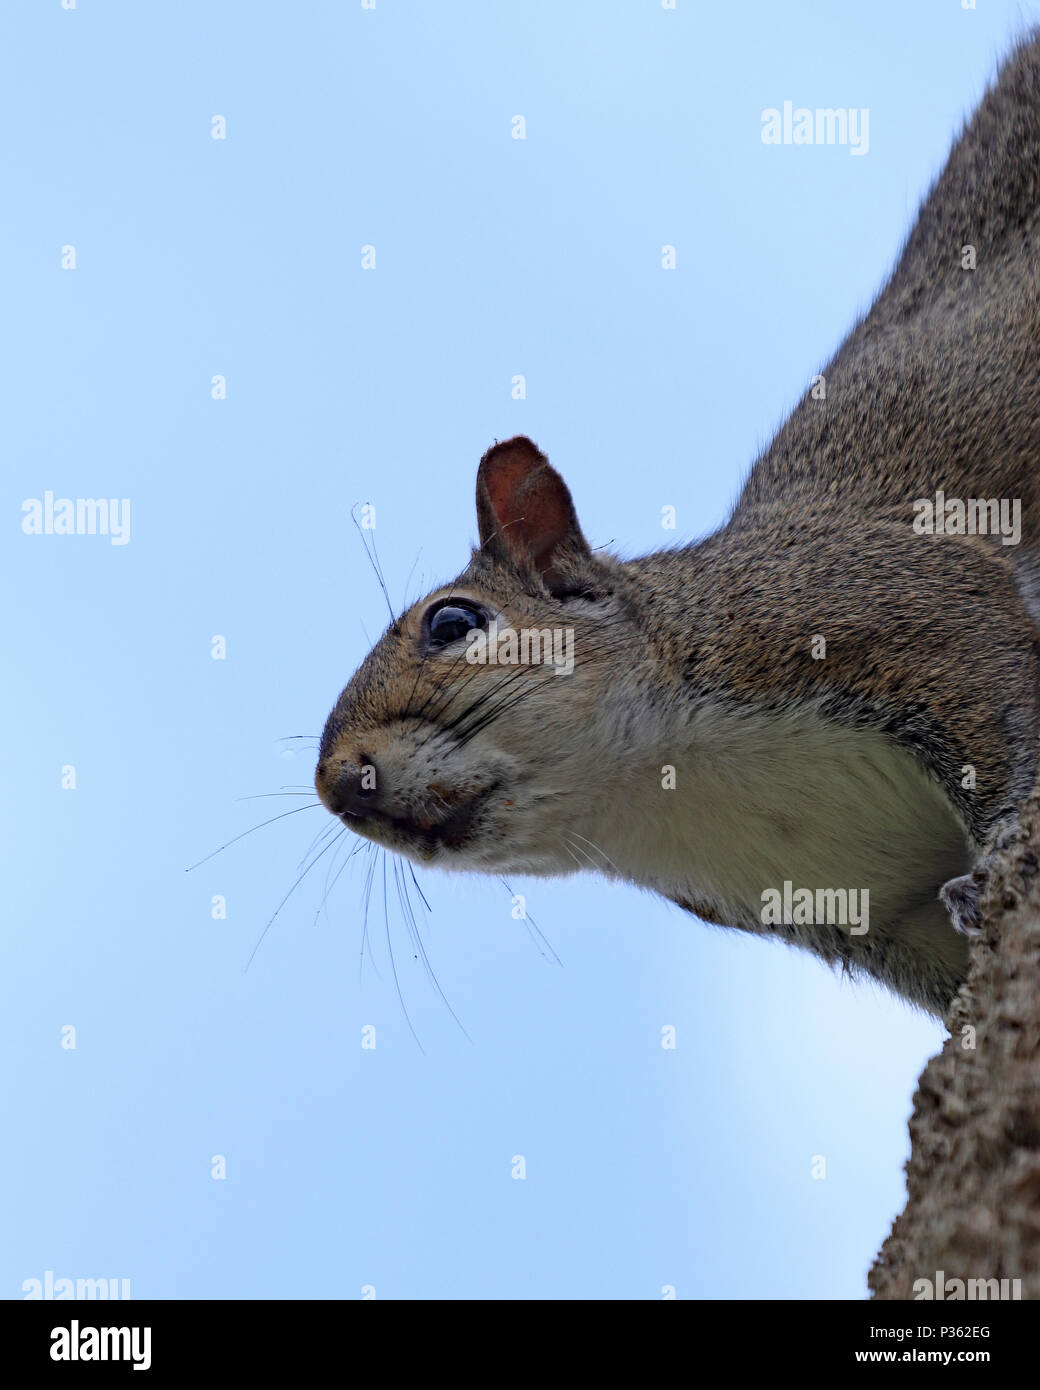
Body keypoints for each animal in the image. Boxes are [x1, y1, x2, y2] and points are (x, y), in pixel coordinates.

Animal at [316, 35, 1040, 1017]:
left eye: (453, 622)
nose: (334, 784)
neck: (675, 790)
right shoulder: (873, 909)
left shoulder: (892, 606)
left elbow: (1004, 716)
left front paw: (1000, 859)